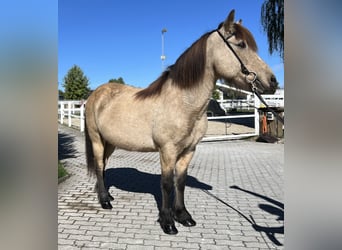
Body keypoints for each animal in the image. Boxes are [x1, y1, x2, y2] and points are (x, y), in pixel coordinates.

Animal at [85, 9, 278, 235]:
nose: (273, 81)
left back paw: (106, 194)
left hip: (111, 142)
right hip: (97, 139)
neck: (183, 103)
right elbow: (167, 184)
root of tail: (96, 94)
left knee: (103, 166)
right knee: (99, 165)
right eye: (241, 44)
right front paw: (168, 221)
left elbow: (181, 182)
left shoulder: (189, 150)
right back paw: (105, 201)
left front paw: (183, 216)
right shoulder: (167, 150)